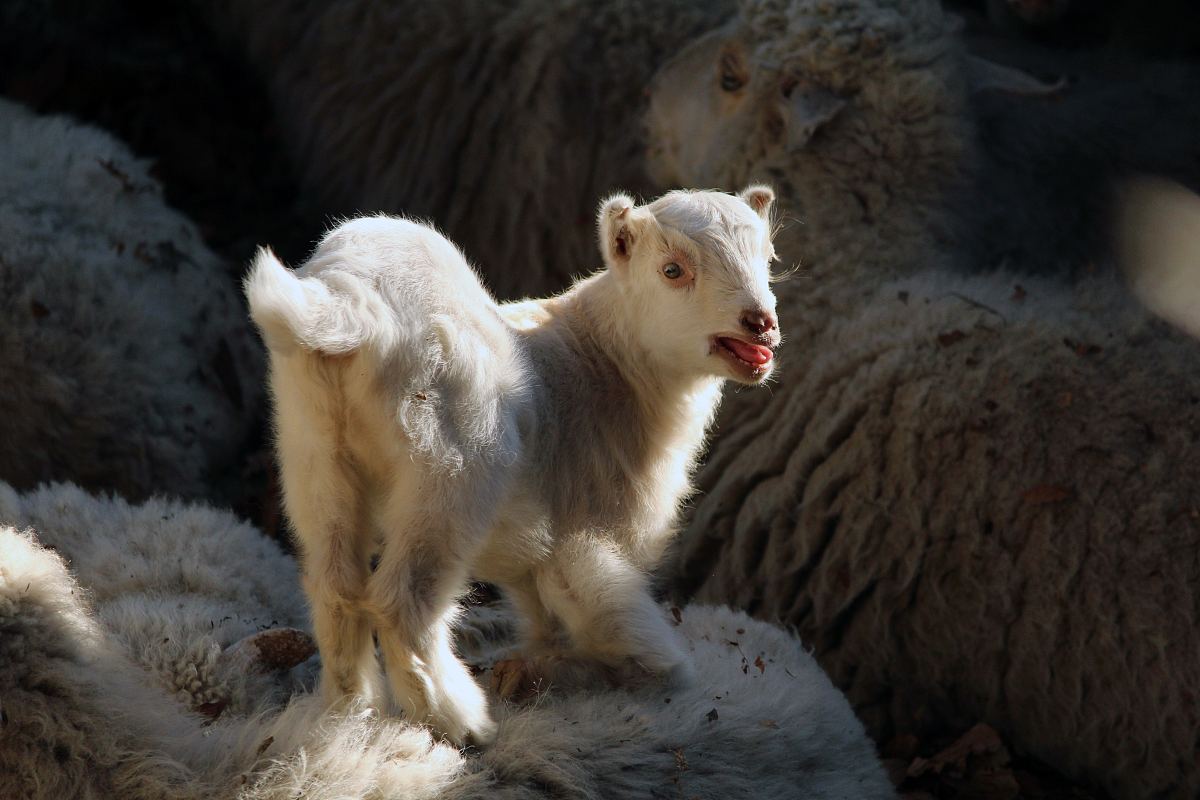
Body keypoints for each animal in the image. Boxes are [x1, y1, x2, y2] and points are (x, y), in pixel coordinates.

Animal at [248, 185, 782, 743]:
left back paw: (352, 713)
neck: (610, 367)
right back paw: (459, 720)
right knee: (403, 602)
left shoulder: (536, 563)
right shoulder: (592, 541)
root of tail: (351, 305)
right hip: (454, 459)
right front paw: (621, 673)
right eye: (672, 270)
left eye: (768, 259)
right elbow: (617, 624)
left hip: (314, 445)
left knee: (335, 585)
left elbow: (544, 618)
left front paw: (534, 668)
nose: (760, 324)